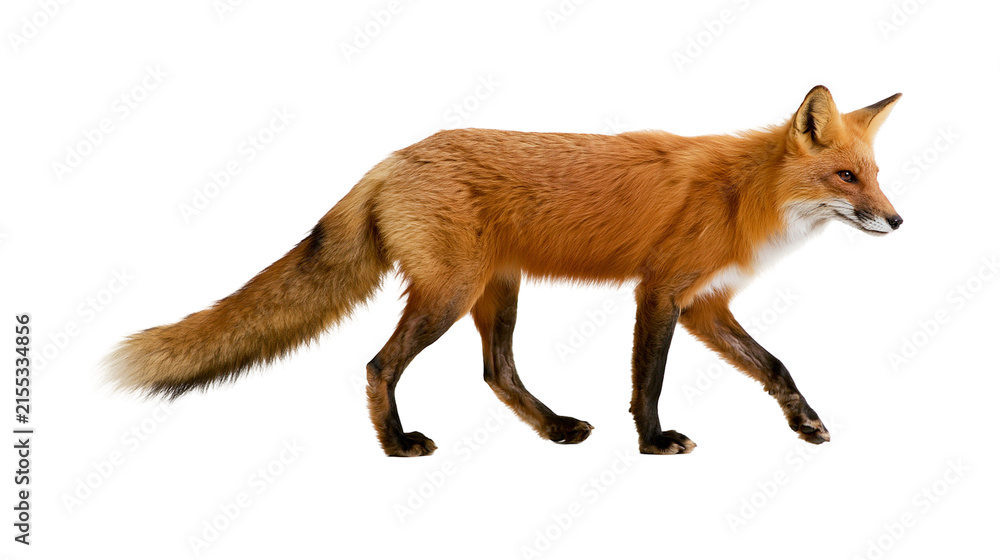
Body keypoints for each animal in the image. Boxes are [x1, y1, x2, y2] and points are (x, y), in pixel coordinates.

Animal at [106, 85, 903, 457]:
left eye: (876, 175)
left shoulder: (703, 303)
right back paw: (396, 444)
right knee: (378, 365)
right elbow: (647, 383)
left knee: (496, 374)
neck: (745, 193)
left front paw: (805, 422)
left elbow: (775, 366)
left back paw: (551, 428)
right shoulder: (662, 292)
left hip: (498, 292)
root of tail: (391, 159)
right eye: (845, 176)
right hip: (449, 295)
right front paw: (652, 444)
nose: (898, 223)